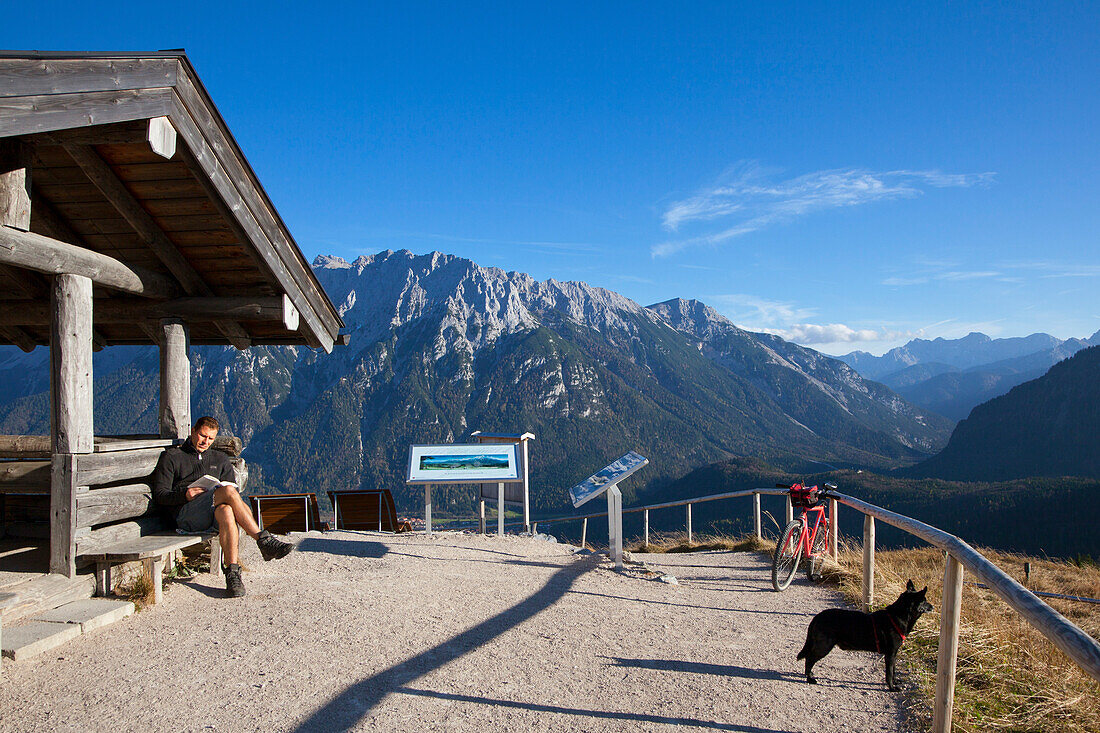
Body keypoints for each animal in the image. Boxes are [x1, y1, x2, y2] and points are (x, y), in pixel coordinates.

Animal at [796, 576, 932, 691]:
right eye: (925, 601)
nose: (933, 606)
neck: (898, 615)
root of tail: (817, 617)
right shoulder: (890, 654)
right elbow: (889, 673)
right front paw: (892, 688)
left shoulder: (894, 654)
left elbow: (894, 671)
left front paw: (895, 682)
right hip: (824, 646)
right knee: (809, 659)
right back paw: (809, 678)